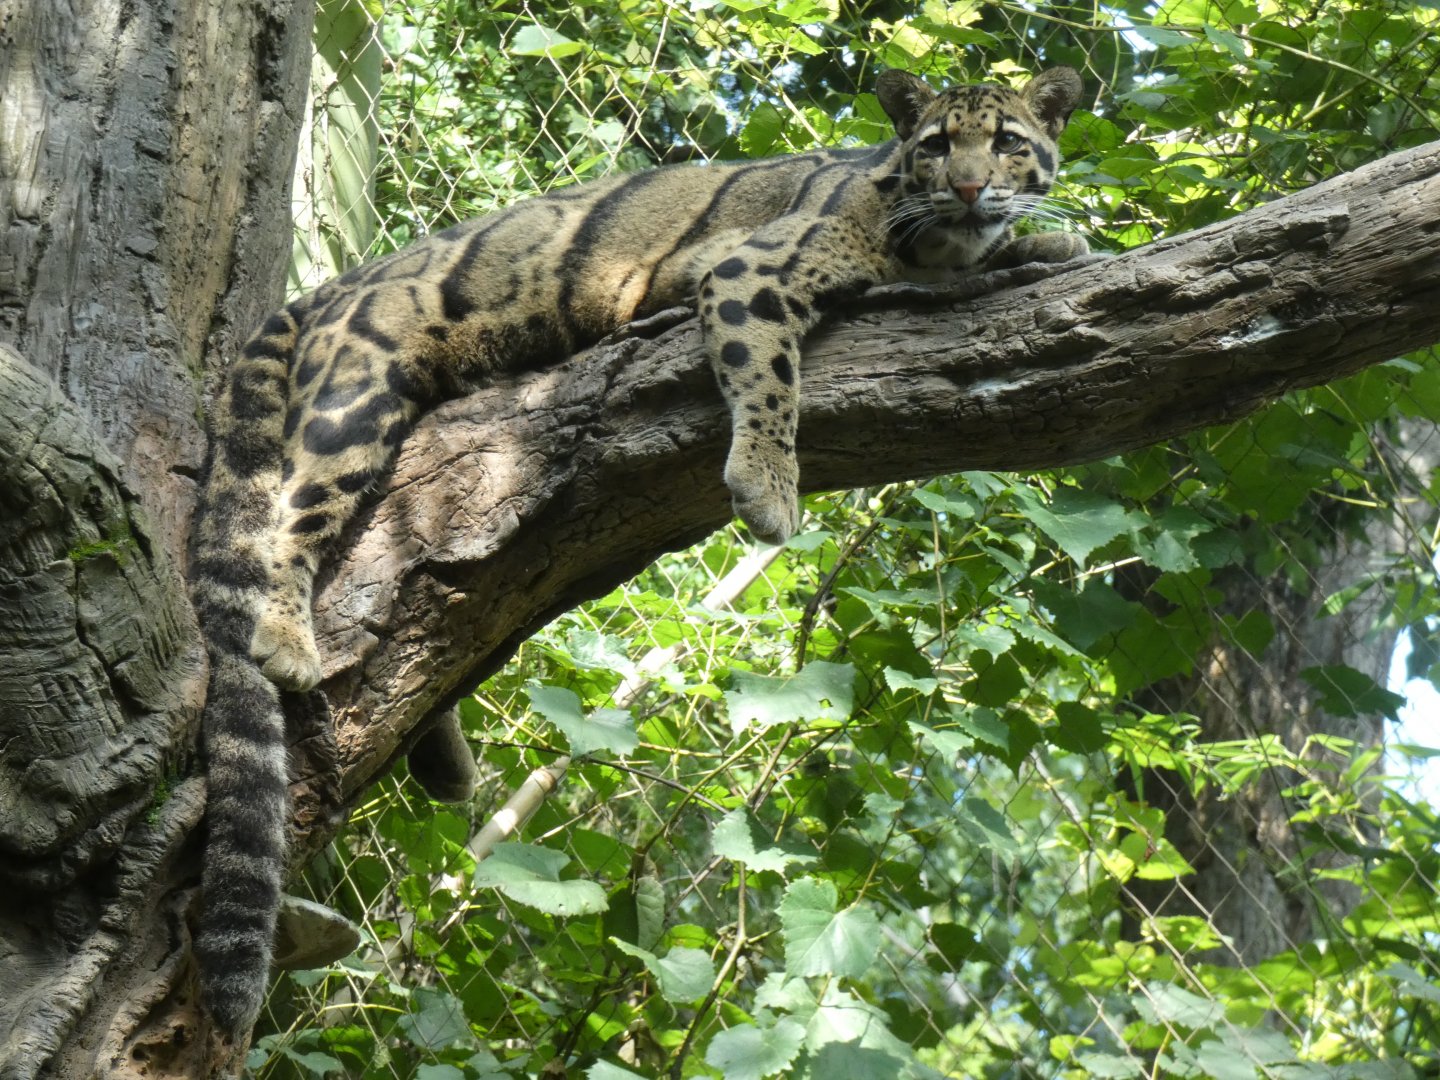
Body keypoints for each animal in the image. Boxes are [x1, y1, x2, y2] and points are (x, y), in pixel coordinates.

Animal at [189, 65, 1091, 1038]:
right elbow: (770, 375)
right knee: (287, 518)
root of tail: (339, 281)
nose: (966, 186)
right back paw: (285, 640)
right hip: (354, 396)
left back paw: (444, 758)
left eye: (1007, 142)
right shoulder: (748, 268)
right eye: (936, 145)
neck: (936, 238)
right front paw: (767, 483)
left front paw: (1049, 240)